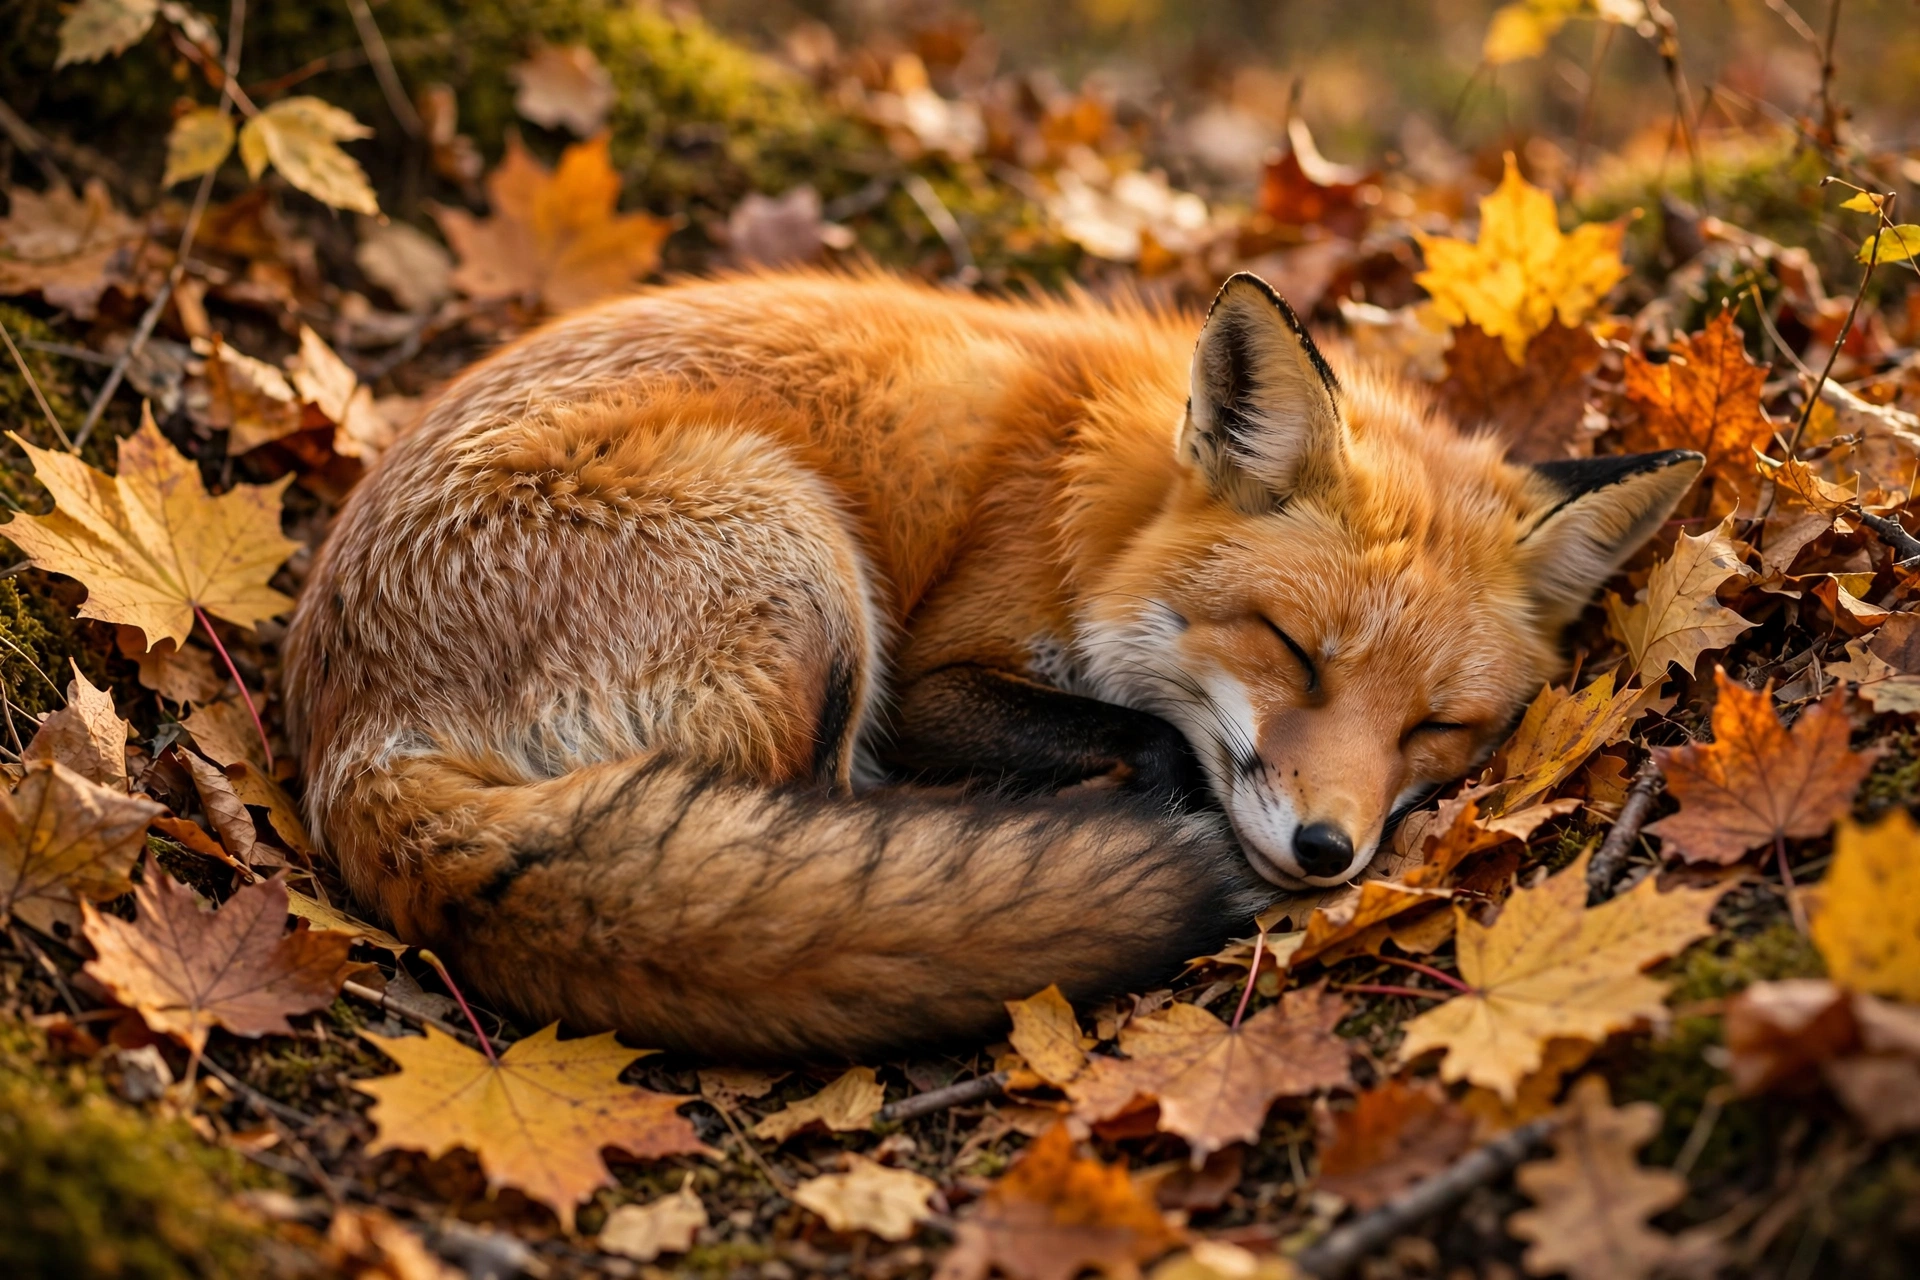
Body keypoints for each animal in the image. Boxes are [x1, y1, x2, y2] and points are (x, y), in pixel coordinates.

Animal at [281, 270, 1700, 1062]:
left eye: (1437, 728)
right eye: (1292, 650)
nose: (1325, 851)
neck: (1094, 500)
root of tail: (352, 730)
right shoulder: (934, 675)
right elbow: (1149, 733)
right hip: (804, 565)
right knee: (814, 816)